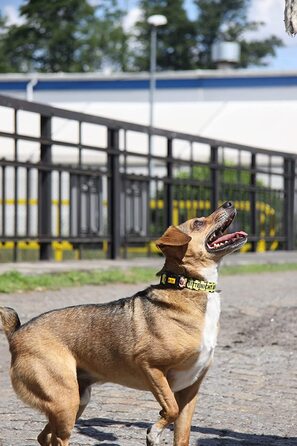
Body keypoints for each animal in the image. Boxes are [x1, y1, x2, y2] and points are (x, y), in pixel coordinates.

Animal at [0, 203, 245, 446]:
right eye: (198, 223)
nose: (229, 203)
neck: (189, 286)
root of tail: (17, 333)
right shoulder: (151, 367)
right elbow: (171, 409)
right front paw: (154, 432)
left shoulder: (189, 390)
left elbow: (181, 432)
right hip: (65, 400)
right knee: (58, 438)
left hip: (76, 399)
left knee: (44, 436)